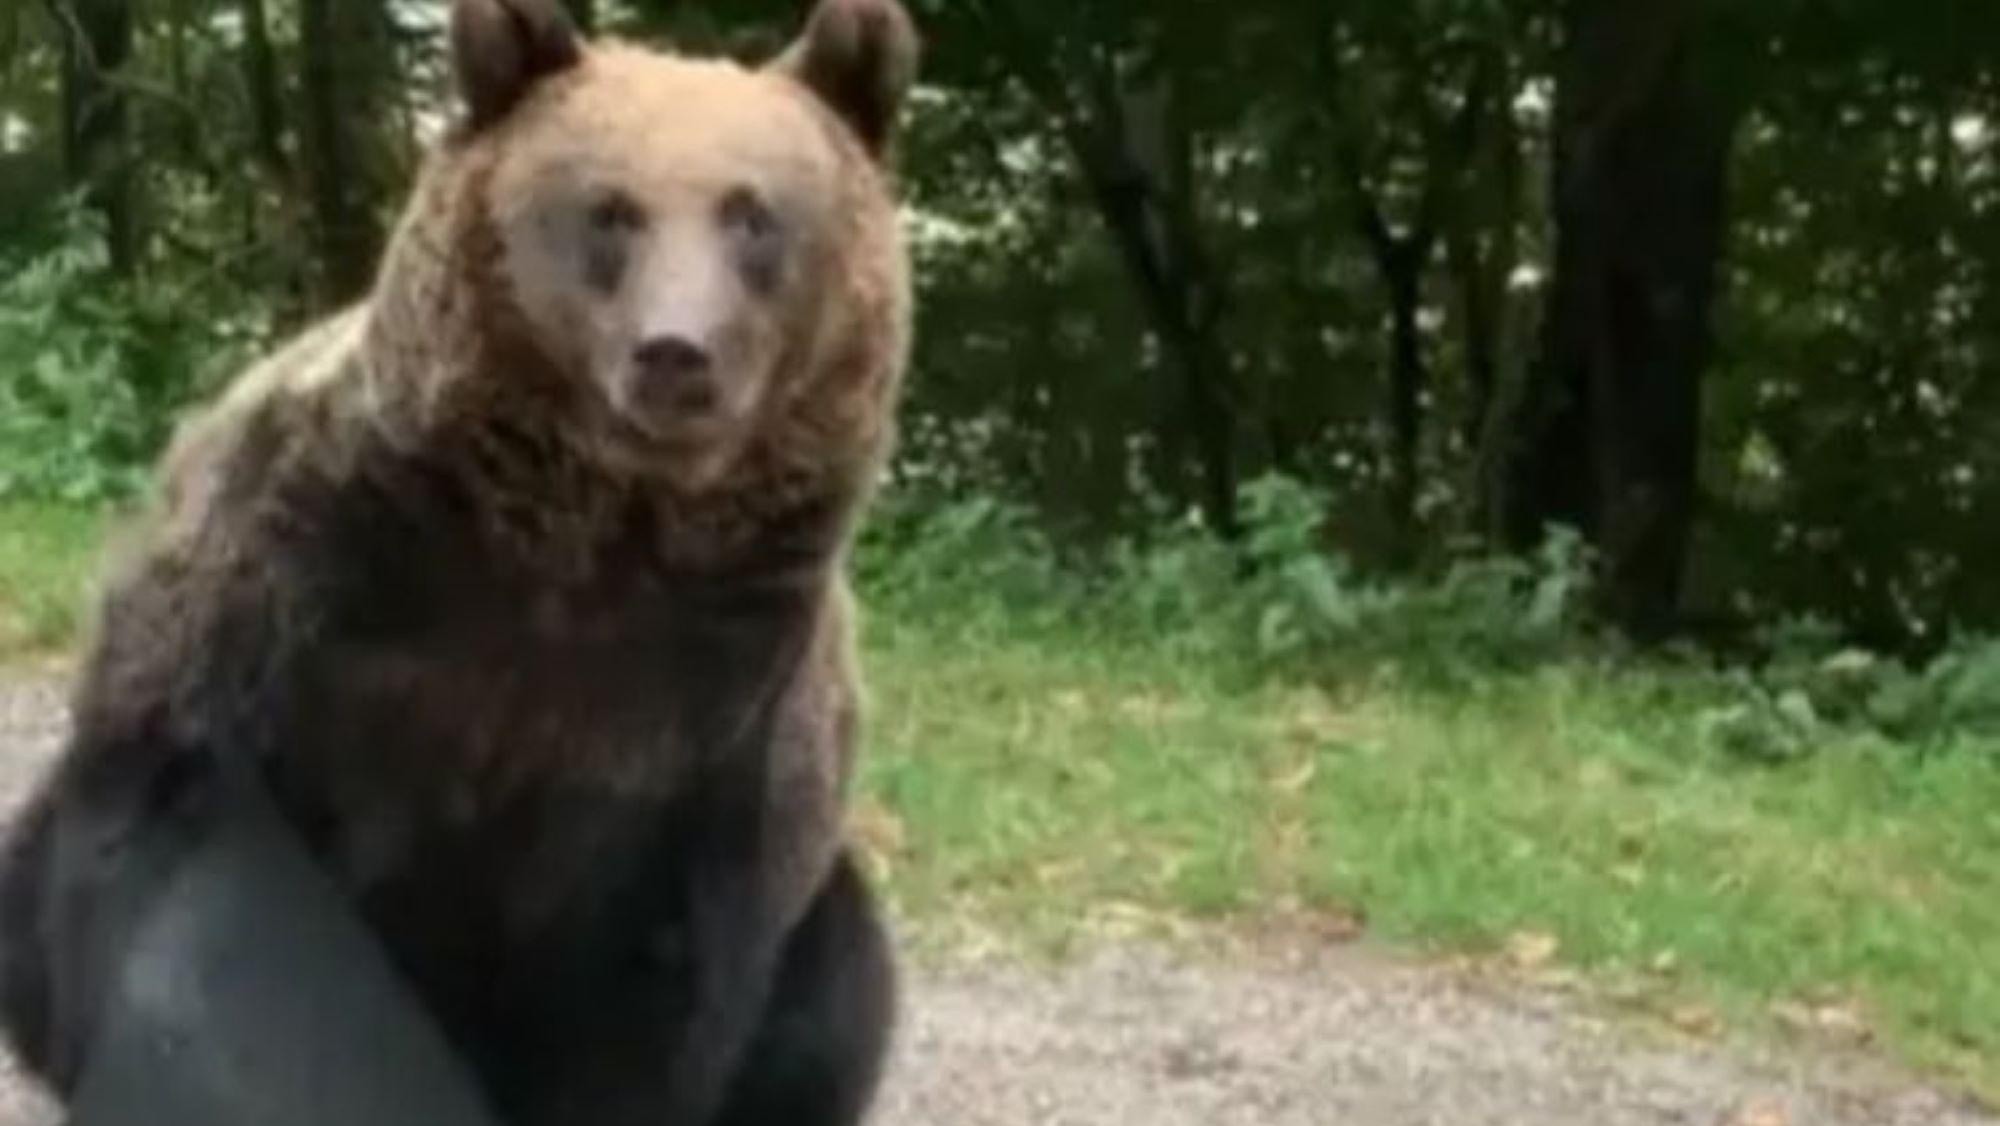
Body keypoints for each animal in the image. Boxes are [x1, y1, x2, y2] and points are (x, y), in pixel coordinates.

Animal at [0, 0, 916, 1120]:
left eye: (753, 215)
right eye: (610, 211)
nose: (674, 353)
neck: (579, 539)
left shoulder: (700, 723)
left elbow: (654, 992)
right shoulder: (308, 599)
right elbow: (219, 923)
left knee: (840, 985)